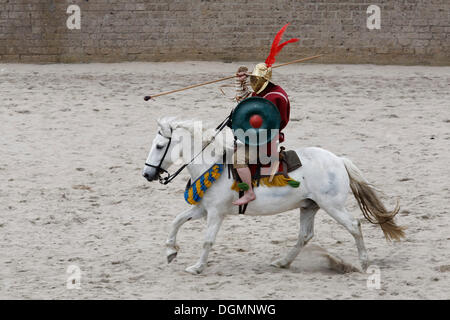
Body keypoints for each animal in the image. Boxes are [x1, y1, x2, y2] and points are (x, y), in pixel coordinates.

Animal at [142, 118, 402, 276]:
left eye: (159, 146)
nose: (147, 174)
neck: (212, 164)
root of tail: (338, 160)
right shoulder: (202, 209)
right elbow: (176, 220)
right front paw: (170, 252)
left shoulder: (215, 213)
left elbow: (207, 240)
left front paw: (197, 267)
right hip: (309, 206)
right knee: (305, 236)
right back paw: (282, 262)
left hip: (333, 206)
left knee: (354, 226)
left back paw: (364, 264)